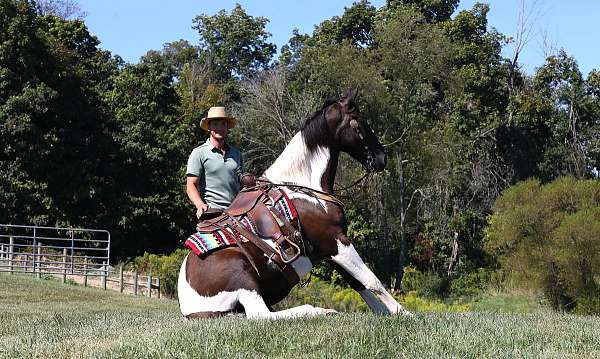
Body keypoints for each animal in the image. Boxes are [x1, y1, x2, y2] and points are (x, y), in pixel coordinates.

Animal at [177, 90, 412, 320]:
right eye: (360, 122)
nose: (382, 158)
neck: (303, 186)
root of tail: (190, 309)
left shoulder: (330, 250)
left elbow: (358, 283)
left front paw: (385, 313)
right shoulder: (336, 241)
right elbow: (373, 281)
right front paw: (405, 314)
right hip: (241, 275)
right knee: (260, 314)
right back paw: (319, 310)